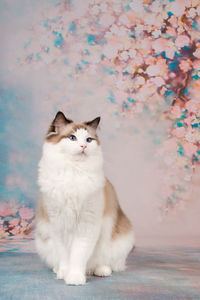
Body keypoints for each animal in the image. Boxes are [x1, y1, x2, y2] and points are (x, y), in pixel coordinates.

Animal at [35, 111, 135, 284]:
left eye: (89, 140)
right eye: (72, 138)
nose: (83, 146)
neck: (74, 171)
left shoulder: (86, 225)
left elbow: (78, 255)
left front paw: (75, 278)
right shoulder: (58, 224)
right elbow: (64, 256)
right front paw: (64, 273)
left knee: (103, 263)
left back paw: (100, 271)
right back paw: (58, 270)